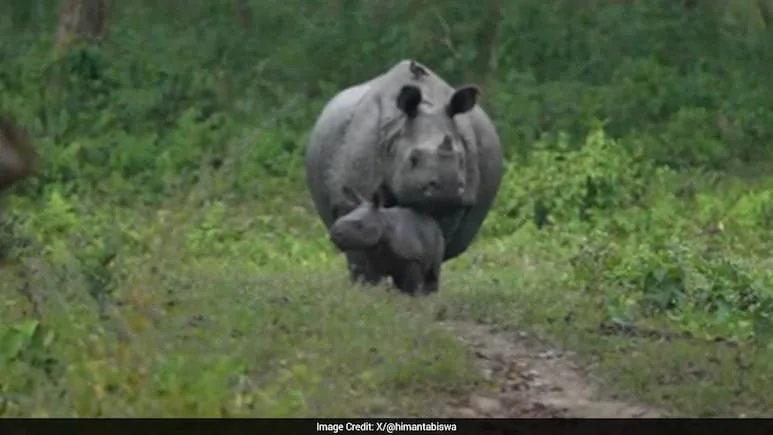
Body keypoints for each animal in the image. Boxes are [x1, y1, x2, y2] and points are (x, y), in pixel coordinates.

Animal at [305, 59, 503, 284]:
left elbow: (435, 235)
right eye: (413, 159)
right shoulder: (354, 192)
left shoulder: (458, 202)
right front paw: (366, 284)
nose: (447, 187)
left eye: (461, 159)